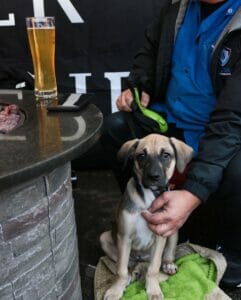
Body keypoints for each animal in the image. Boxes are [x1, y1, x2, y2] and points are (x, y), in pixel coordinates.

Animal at [100, 134, 193, 300]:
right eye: (141, 156)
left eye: (166, 155)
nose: (154, 177)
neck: (148, 199)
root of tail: (142, 258)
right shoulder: (124, 237)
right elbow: (120, 270)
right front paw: (116, 290)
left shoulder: (160, 235)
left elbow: (153, 268)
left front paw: (153, 290)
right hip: (105, 238)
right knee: (127, 264)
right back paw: (131, 272)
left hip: (173, 230)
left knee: (166, 253)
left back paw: (168, 264)